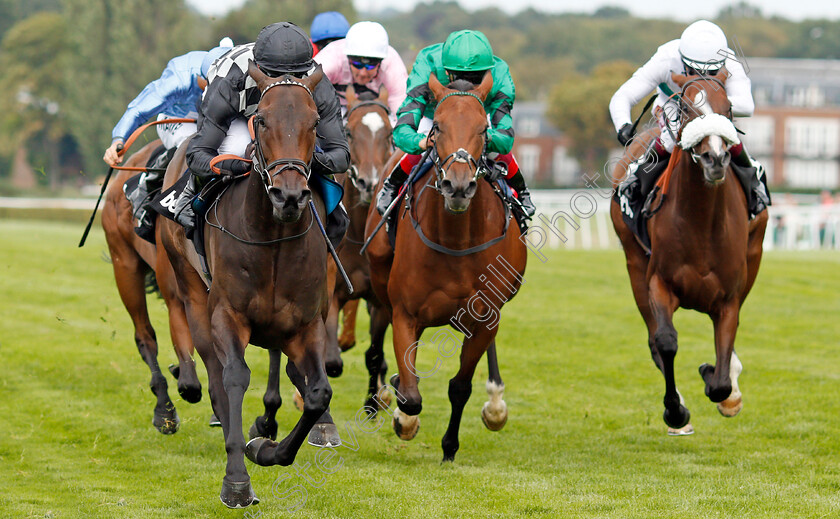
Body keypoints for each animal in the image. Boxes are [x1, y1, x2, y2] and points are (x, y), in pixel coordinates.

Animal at [161, 62, 334, 508]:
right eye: (262, 120)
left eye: (314, 122)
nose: (289, 195)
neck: (272, 237)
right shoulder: (227, 315)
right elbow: (235, 376)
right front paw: (237, 480)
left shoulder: (305, 324)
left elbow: (318, 393)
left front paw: (268, 448)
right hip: (192, 292)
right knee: (213, 370)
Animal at [366, 71, 524, 462]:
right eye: (437, 126)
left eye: (483, 129)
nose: (458, 186)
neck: (456, 242)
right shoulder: (405, 313)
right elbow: (411, 395)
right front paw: (403, 417)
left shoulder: (486, 317)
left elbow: (460, 387)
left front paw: (450, 447)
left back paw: (495, 403)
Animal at [612, 71, 768, 432]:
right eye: (686, 108)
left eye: (728, 108)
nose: (715, 159)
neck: (701, 223)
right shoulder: (659, 282)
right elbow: (665, 341)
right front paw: (676, 411)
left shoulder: (729, 298)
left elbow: (722, 373)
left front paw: (721, 385)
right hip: (633, 262)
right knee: (653, 339)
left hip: (754, 256)